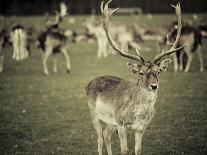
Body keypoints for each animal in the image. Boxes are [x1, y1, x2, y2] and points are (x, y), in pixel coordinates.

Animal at [86, 0, 184, 154]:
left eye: (158, 72)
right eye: (141, 73)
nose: (154, 85)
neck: (138, 115)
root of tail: (88, 84)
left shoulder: (141, 127)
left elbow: (138, 150)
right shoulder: (120, 122)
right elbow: (124, 150)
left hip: (110, 122)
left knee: (107, 136)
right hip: (95, 116)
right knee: (100, 140)